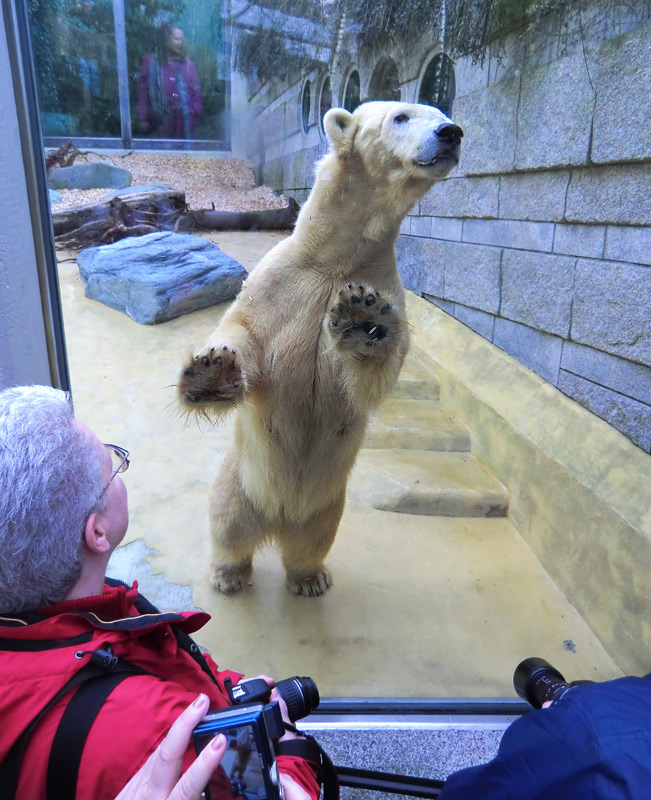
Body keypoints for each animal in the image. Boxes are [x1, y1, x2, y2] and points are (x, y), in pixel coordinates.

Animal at [178, 101, 464, 592]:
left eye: (441, 110)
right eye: (402, 116)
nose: (451, 132)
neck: (335, 257)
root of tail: (278, 517)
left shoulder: (388, 290)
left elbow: (375, 377)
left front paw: (364, 324)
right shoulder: (278, 281)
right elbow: (244, 331)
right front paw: (211, 373)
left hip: (330, 501)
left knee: (313, 538)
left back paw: (310, 578)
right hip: (240, 477)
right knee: (227, 518)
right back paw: (228, 573)